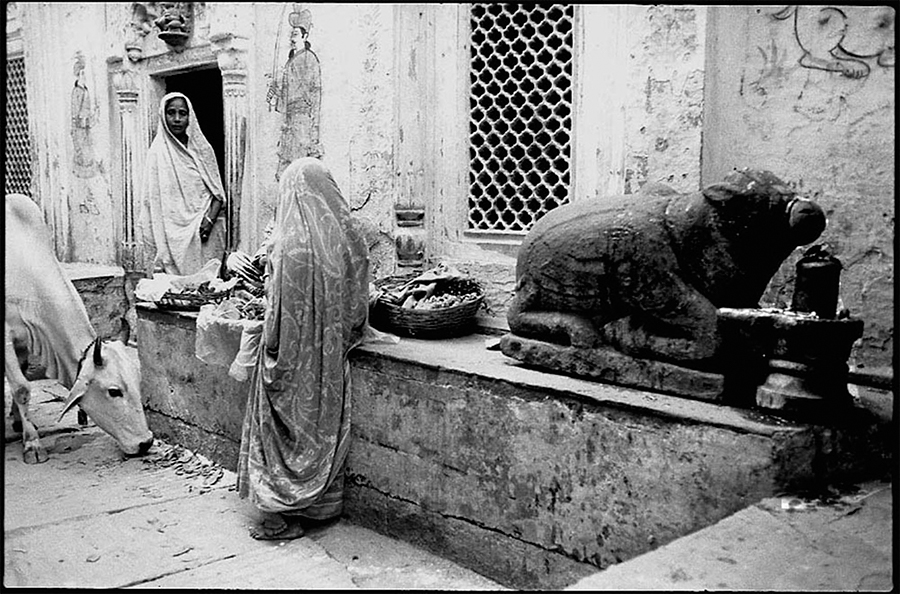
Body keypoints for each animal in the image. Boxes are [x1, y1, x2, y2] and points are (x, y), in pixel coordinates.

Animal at [4, 194, 153, 462]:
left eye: (138, 383)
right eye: (114, 391)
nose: (145, 443)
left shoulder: (23, 338)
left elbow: (20, 375)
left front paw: (19, 423)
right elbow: (22, 388)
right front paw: (32, 444)